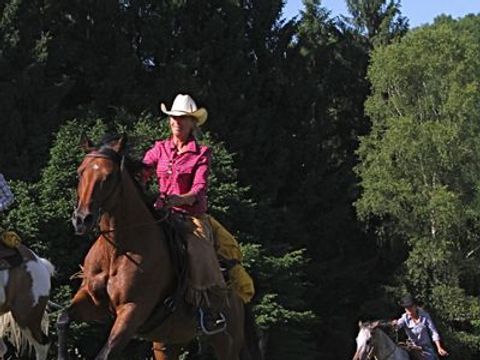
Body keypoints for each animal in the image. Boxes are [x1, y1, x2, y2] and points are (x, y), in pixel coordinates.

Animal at [56, 136, 260, 360]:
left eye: (109, 176)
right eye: (80, 172)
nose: (82, 219)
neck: (118, 250)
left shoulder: (132, 311)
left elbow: (106, 353)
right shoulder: (91, 300)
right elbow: (63, 318)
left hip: (226, 341)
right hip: (167, 342)